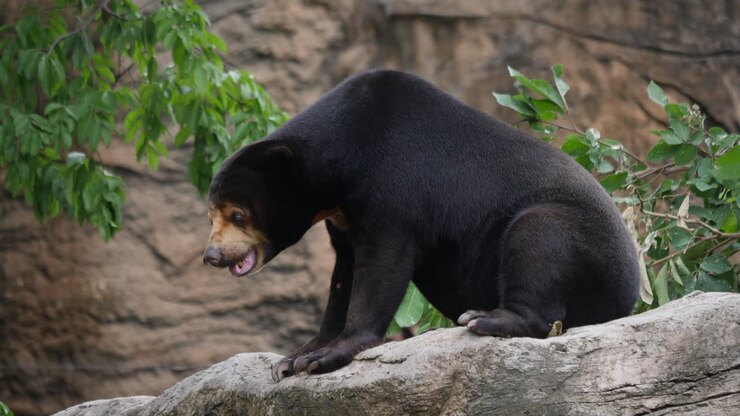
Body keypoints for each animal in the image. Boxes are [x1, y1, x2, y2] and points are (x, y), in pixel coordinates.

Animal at [203, 69, 640, 381]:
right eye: (211, 214)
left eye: (237, 214)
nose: (211, 255)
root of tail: (630, 294)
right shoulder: (343, 216)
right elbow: (344, 275)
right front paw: (294, 357)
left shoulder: (396, 184)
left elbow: (381, 266)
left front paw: (324, 356)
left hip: (578, 237)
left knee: (539, 243)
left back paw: (483, 318)